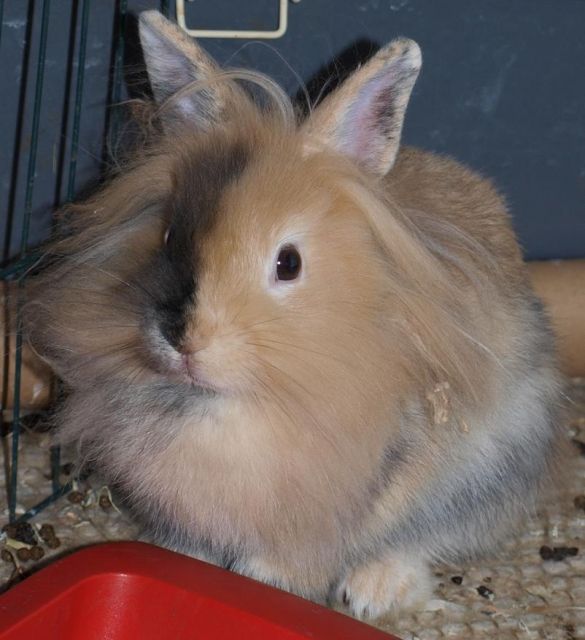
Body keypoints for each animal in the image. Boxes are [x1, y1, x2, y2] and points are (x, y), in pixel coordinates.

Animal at [24, 10, 566, 619]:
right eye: (168, 236)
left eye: (288, 263)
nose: (185, 343)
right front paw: (181, 563)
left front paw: (270, 581)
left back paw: (373, 592)